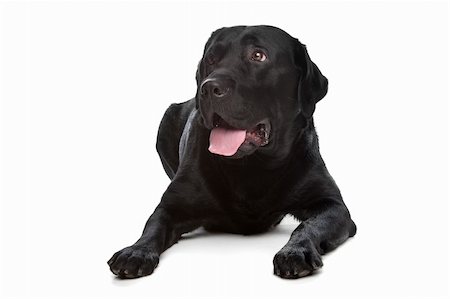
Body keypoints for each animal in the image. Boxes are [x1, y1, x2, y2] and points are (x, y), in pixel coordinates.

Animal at [107, 24, 356, 280]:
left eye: (258, 55)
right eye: (211, 59)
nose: (209, 87)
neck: (252, 167)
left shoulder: (333, 205)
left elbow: (307, 226)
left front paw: (295, 252)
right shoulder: (170, 205)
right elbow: (152, 227)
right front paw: (135, 251)